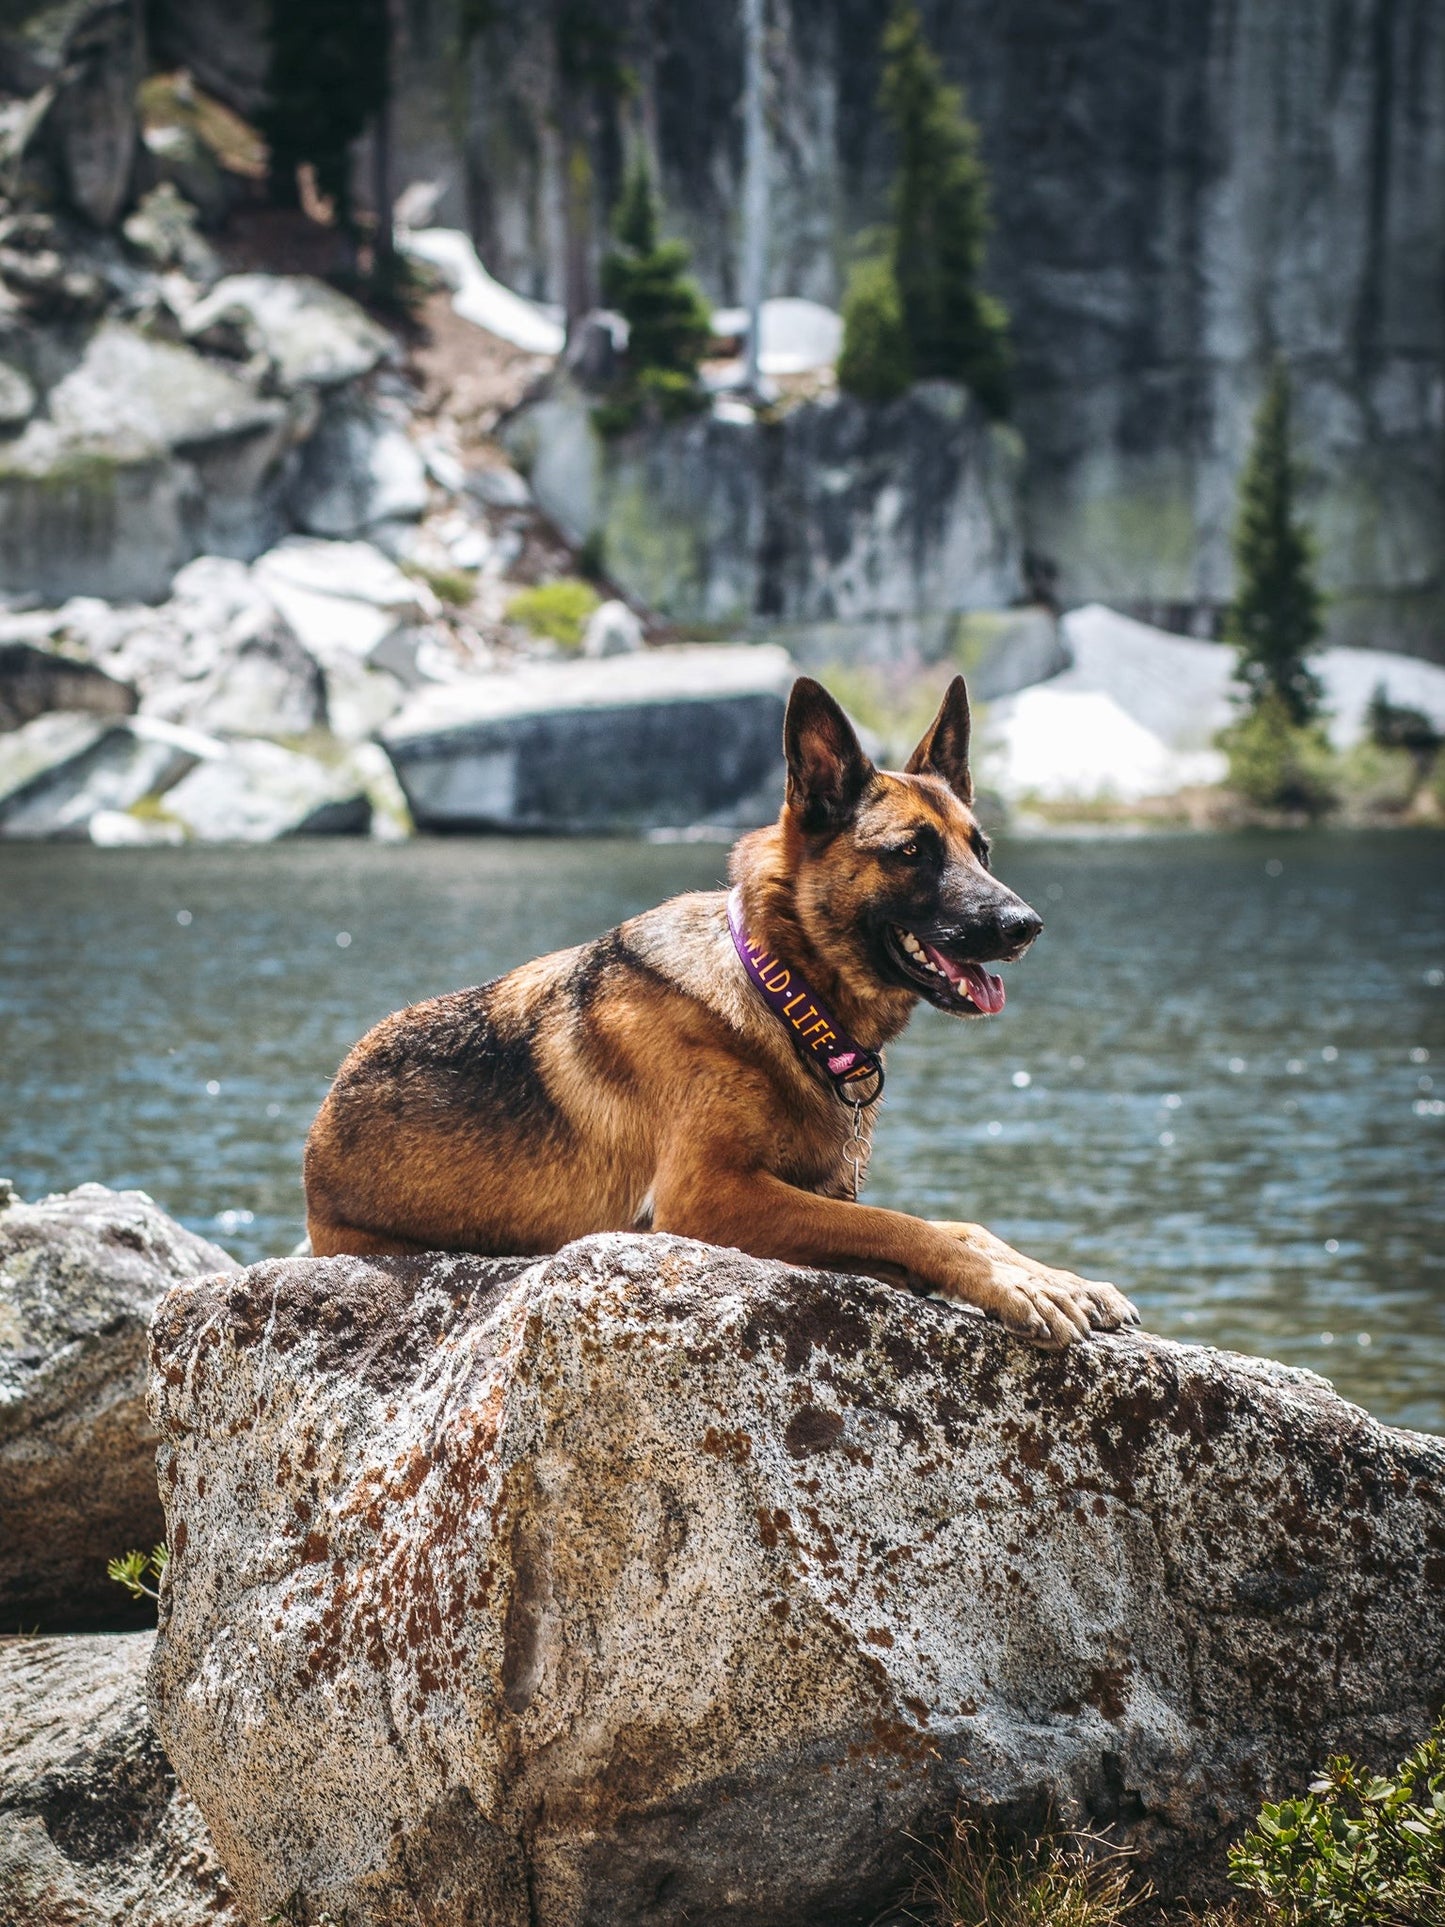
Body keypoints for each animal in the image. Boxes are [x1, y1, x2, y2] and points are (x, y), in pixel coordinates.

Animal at [308, 686, 1140, 1348]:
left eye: (982, 849)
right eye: (911, 851)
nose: (1025, 925)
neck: (779, 994)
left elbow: (959, 1224)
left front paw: (1054, 1275)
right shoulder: (707, 1194)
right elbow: (903, 1223)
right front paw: (1010, 1284)